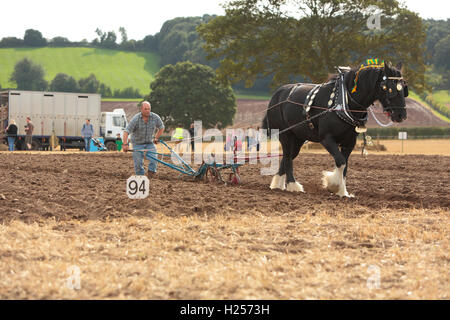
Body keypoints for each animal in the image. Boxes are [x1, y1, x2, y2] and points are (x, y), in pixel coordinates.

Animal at [262, 58, 410, 196]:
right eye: (389, 88)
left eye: (404, 89)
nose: (401, 115)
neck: (344, 101)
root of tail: (277, 94)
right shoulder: (326, 139)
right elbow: (341, 161)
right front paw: (334, 185)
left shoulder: (349, 142)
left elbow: (345, 166)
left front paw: (342, 191)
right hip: (285, 134)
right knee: (287, 158)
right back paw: (292, 185)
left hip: (298, 138)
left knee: (288, 157)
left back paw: (278, 184)